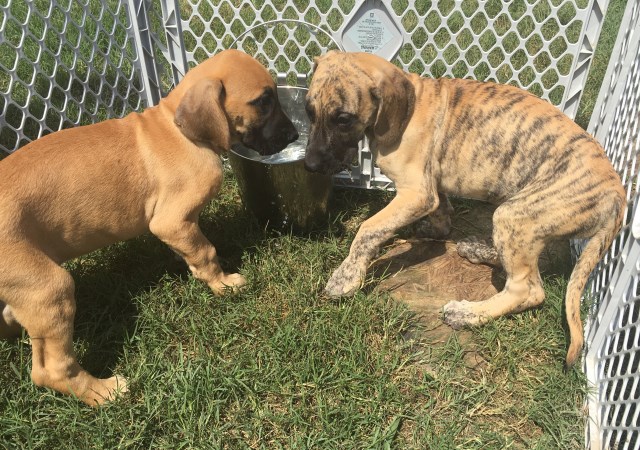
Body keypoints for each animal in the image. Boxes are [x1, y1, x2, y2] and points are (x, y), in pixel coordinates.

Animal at [304, 51, 624, 370]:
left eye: (343, 119)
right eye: (309, 111)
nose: (310, 165)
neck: (408, 109)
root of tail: (617, 195)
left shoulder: (416, 193)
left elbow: (368, 229)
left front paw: (346, 276)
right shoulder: (430, 190)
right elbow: (441, 210)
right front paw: (436, 229)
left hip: (515, 214)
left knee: (527, 289)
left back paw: (468, 314)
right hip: (522, 221)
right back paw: (478, 250)